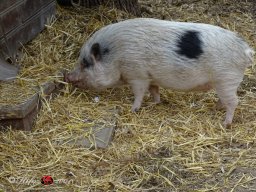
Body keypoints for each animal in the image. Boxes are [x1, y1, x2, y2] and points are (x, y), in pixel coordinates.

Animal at [66, 17, 254, 126]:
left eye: (85, 63)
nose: (67, 76)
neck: (116, 55)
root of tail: (246, 50)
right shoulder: (151, 78)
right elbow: (154, 90)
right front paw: (155, 103)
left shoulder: (138, 75)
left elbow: (139, 93)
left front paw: (133, 109)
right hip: (223, 82)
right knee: (225, 100)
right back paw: (215, 108)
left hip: (226, 79)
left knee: (234, 101)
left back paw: (225, 123)